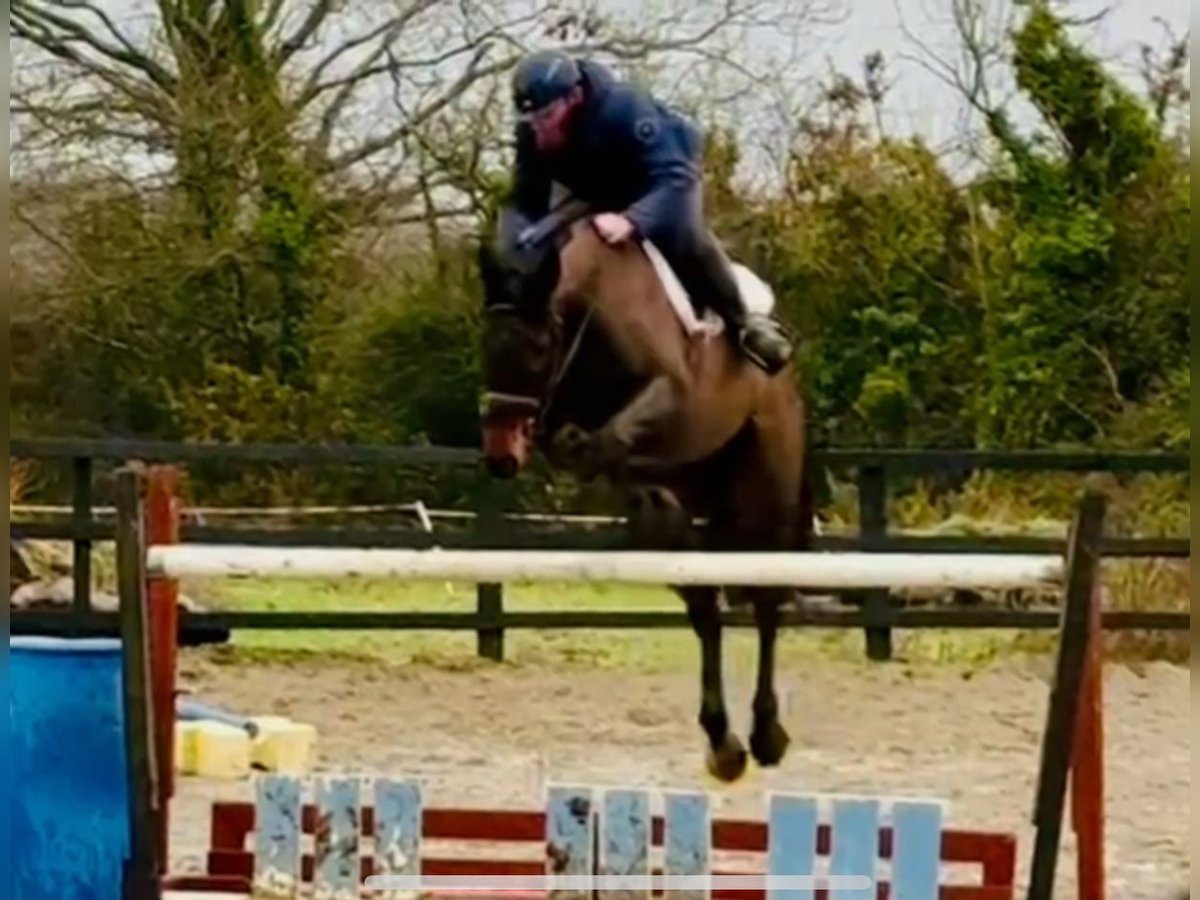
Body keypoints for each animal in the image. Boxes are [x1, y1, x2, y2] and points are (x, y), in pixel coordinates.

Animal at [475, 196, 816, 782]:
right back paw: (723, 744)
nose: (501, 455)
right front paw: (637, 486)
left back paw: (766, 734)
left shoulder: (672, 395)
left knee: (766, 601)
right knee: (705, 607)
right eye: (485, 345)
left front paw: (596, 454)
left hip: (764, 492)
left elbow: (601, 440)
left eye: (539, 346)